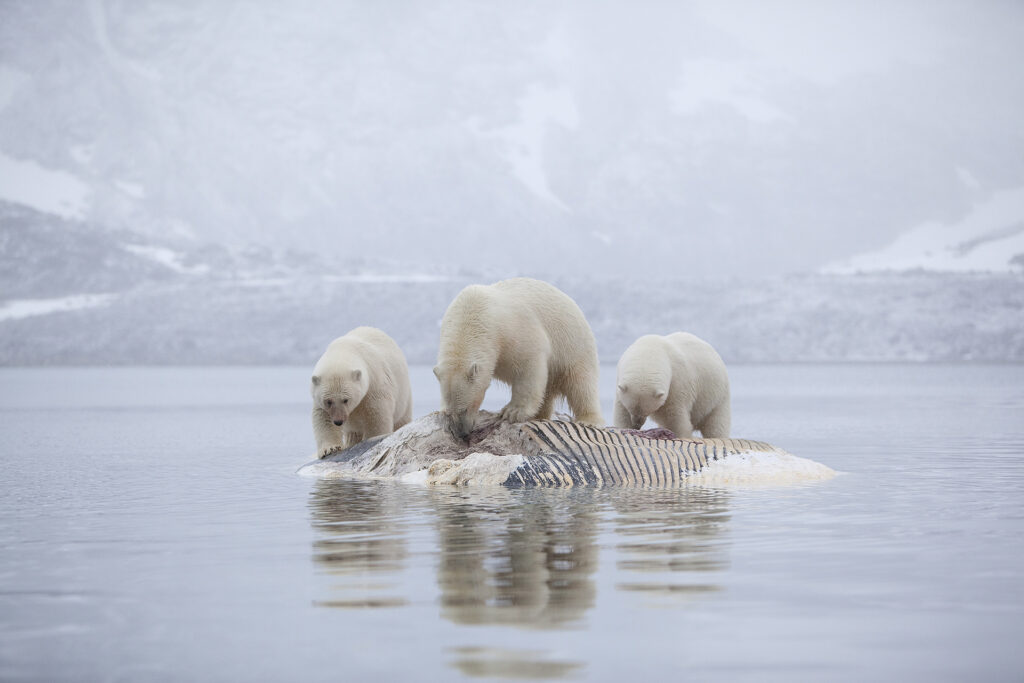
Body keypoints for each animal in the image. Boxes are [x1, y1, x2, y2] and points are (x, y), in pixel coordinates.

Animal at [307, 327, 411, 458]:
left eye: (346, 400)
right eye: (328, 401)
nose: (338, 421)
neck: (343, 350)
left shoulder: (373, 385)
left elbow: (377, 417)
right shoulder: (320, 400)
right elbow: (323, 419)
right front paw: (330, 449)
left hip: (403, 396)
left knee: (402, 419)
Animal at [434, 278, 606, 438]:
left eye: (465, 408)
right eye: (447, 413)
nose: (462, 433)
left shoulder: (512, 330)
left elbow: (528, 366)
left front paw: (512, 412)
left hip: (574, 346)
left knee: (581, 385)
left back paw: (588, 420)